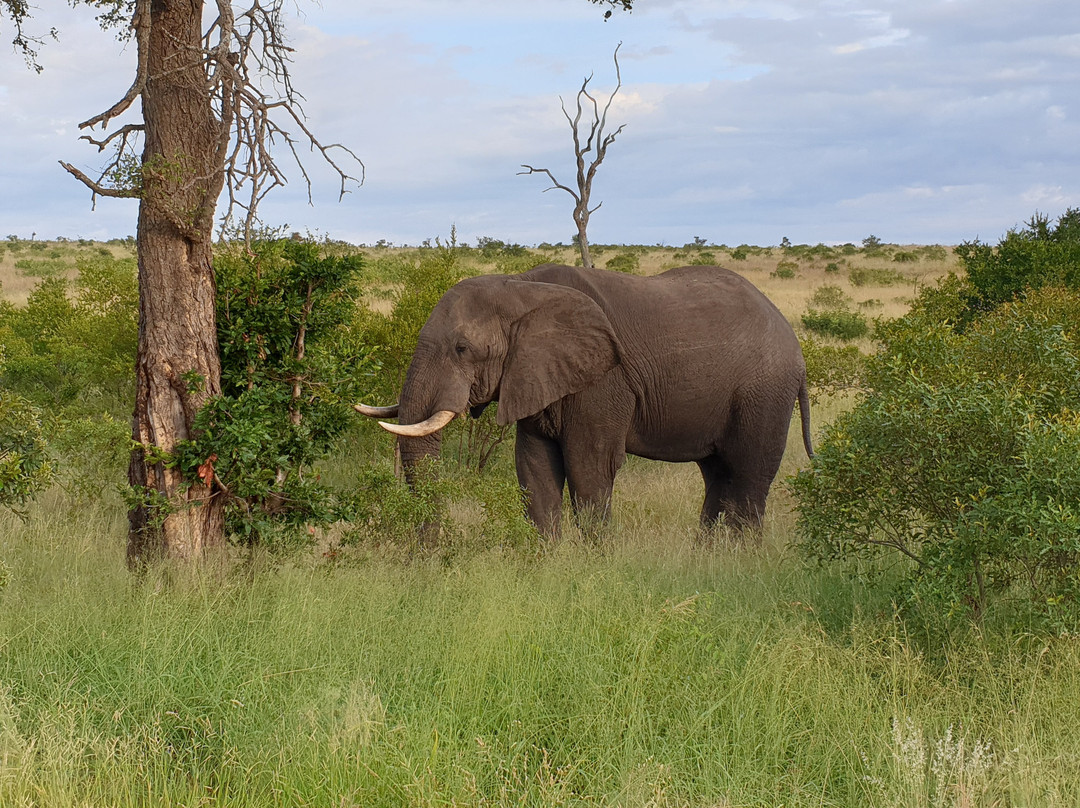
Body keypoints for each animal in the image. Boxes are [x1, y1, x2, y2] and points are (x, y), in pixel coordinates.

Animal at [358, 263, 812, 535]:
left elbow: (588, 468)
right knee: (719, 476)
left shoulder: (604, 382)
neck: (521, 286)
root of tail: (793, 339)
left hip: (764, 393)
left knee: (748, 479)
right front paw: (543, 567)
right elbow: (534, 470)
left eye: (462, 349)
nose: (433, 548)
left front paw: (596, 568)